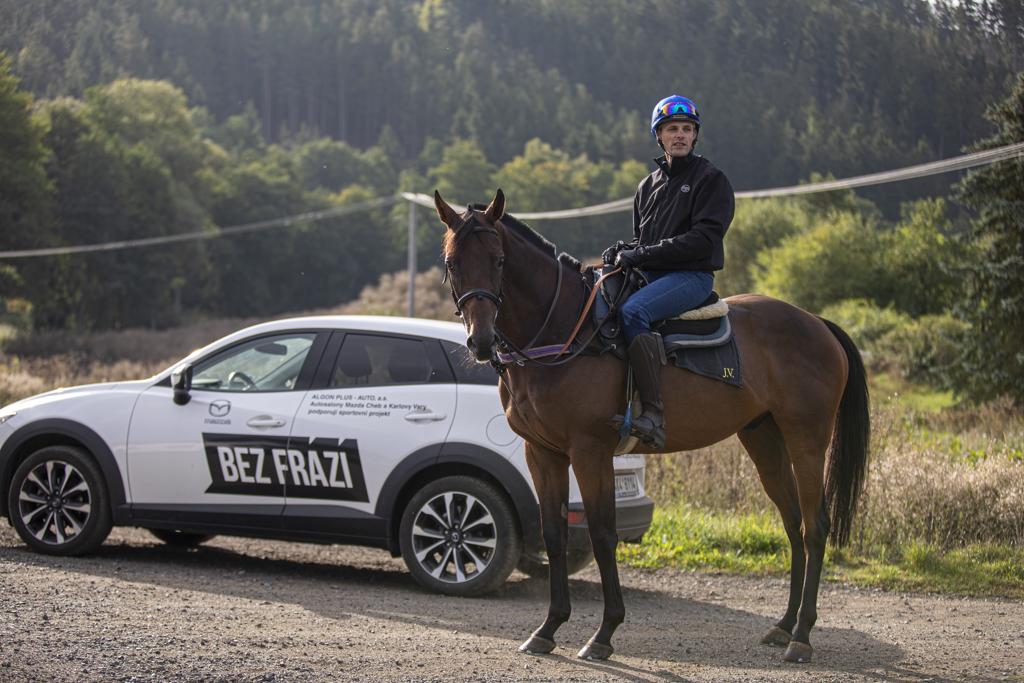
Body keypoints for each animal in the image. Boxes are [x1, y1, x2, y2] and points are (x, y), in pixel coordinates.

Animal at [430, 188, 864, 663]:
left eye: (499, 261)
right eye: (452, 263)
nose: (481, 341)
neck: (565, 332)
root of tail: (817, 323)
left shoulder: (590, 451)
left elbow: (603, 535)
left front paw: (604, 633)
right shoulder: (542, 453)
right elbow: (553, 534)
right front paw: (548, 628)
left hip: (807, 441)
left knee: (814, 526)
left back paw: (802, 636)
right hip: (765, 441)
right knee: (793, 526)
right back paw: (784, 627)